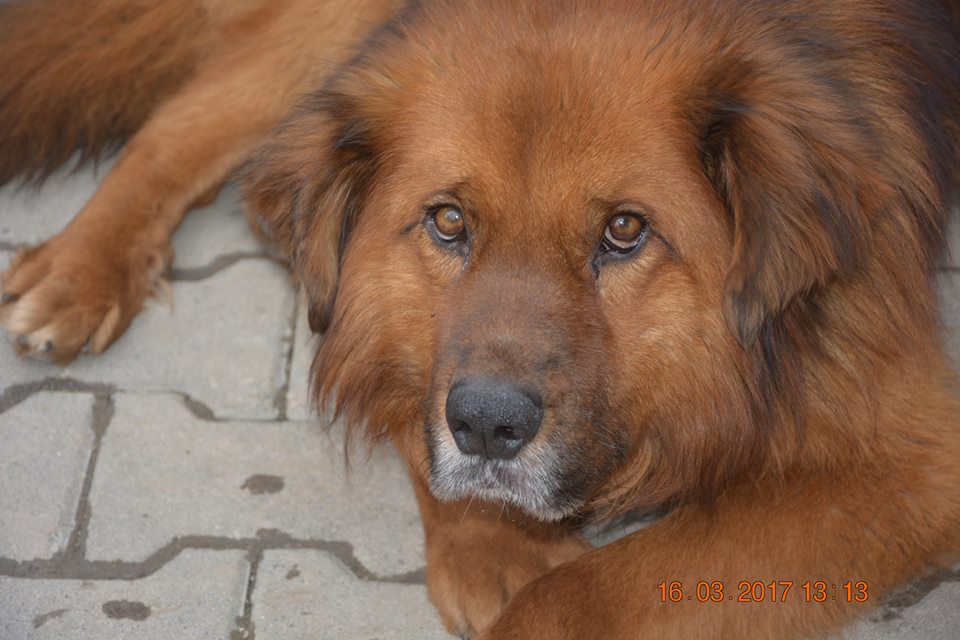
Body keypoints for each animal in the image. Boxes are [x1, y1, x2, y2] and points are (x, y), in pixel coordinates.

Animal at [2, 0, 959, 638]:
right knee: (181, 126)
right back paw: (77, 270)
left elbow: (580, 597)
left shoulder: (910, 461)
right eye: (449, 221)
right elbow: (381, 356)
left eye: (625, 231)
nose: (488, 427)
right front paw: (490, 547)